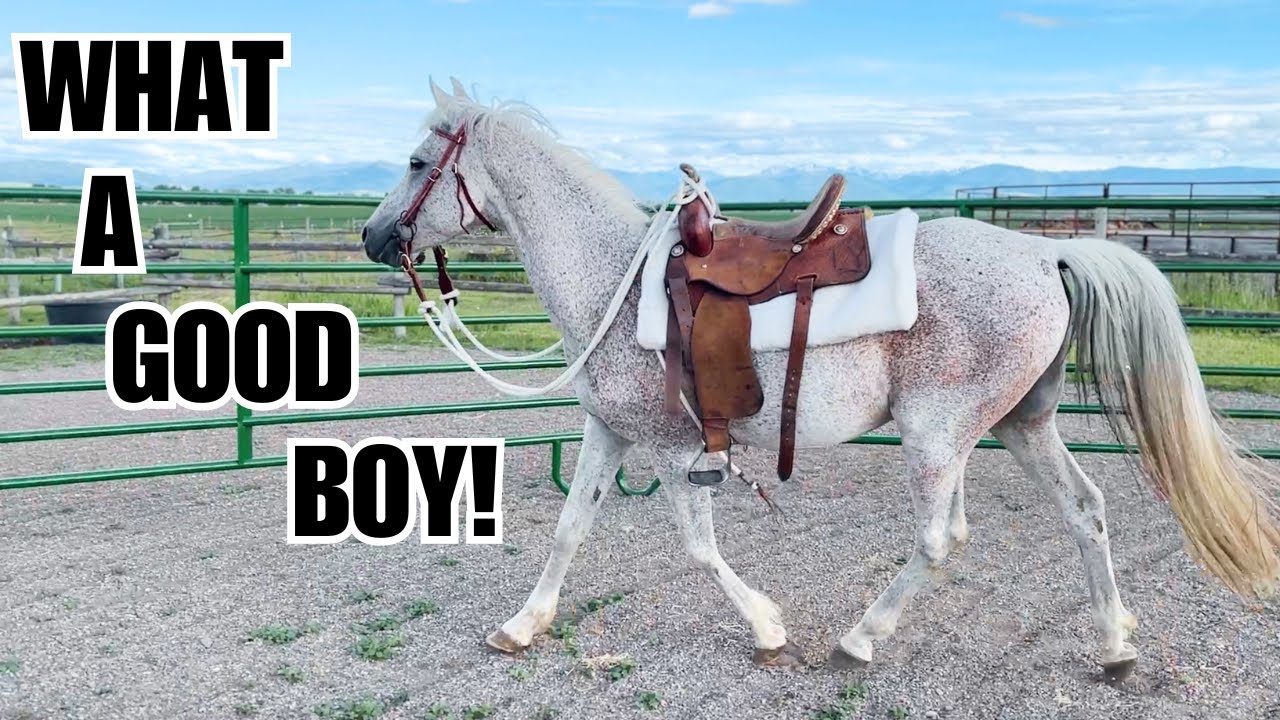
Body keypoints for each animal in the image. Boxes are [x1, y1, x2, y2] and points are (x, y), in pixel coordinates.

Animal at [359, 79, 1280, 680]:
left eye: (414, 159)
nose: (371, 237)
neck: (612, 278)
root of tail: (1044, 254)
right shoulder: (609, 433)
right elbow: (568, 533)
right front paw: (522, 626)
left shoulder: (671, 446)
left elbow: (699, 548)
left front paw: (768, 629)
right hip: (1022, 425)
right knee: (1084, 510)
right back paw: (1116, 644)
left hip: (937, 435)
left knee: (941, 539)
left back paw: (859, 641)